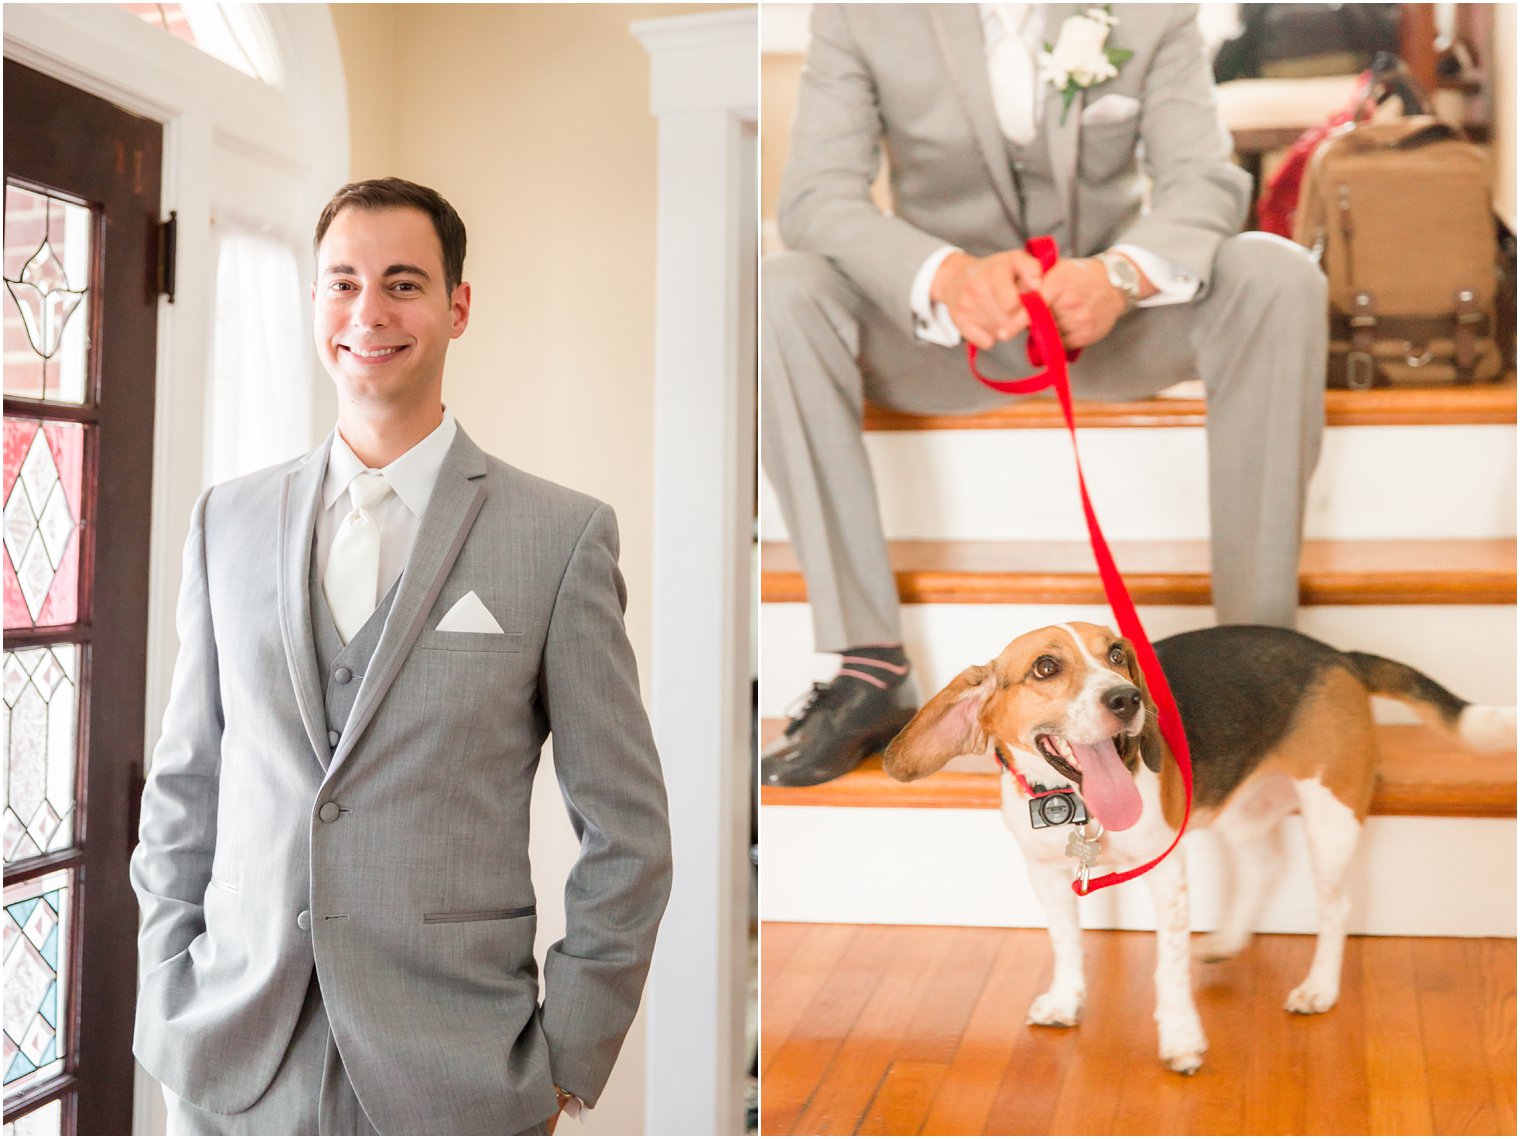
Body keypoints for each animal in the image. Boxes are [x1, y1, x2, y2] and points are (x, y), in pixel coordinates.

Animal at [887, 623, 1513, 1076]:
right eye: (1046, 667)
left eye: (1117, 653)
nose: (1127, 699)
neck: (1080, 805)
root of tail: (1338, 654)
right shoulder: (1043, 871)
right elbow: (1067, 944)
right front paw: (1066, 1002)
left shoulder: (1166, 873)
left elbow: (1167, 967)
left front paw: (1182, 1038)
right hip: (1241, 811)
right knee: (1264, 867)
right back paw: (1228, 942)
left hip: (1330, 818)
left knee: (1336, 908)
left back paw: (1319, 988)